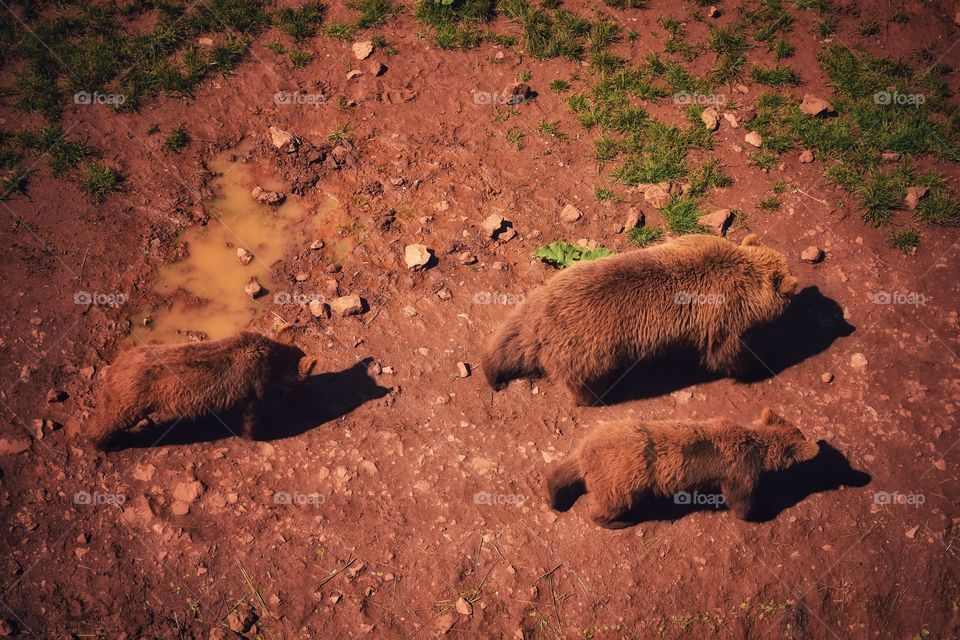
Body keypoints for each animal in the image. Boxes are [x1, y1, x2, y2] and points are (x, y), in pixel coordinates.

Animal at [90, 331, 316, 449]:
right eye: (305, 380)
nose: (306, 395)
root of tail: (116, 363)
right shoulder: (252, 387)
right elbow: (250, 419)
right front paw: (256, 435)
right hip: (130, 397)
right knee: (111, 419)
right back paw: (101, 442)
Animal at [480, 234, 798, 405]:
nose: (797, 286)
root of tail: (545, 322)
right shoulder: (725, 317)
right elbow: (725, 353)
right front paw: (757, 366)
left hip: (537, 301)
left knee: (506, 342)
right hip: (586, 354)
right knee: (583, 382)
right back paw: (599, 396)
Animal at [544, 408, 820, 528]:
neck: (755, 444)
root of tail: (588, 458)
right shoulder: (740, 473)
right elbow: (741, 504)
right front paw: (761, 510)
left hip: (594, 441)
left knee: (560, 472)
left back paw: (551, 494)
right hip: (619, 485)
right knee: (606, 509)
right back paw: (618, 522)